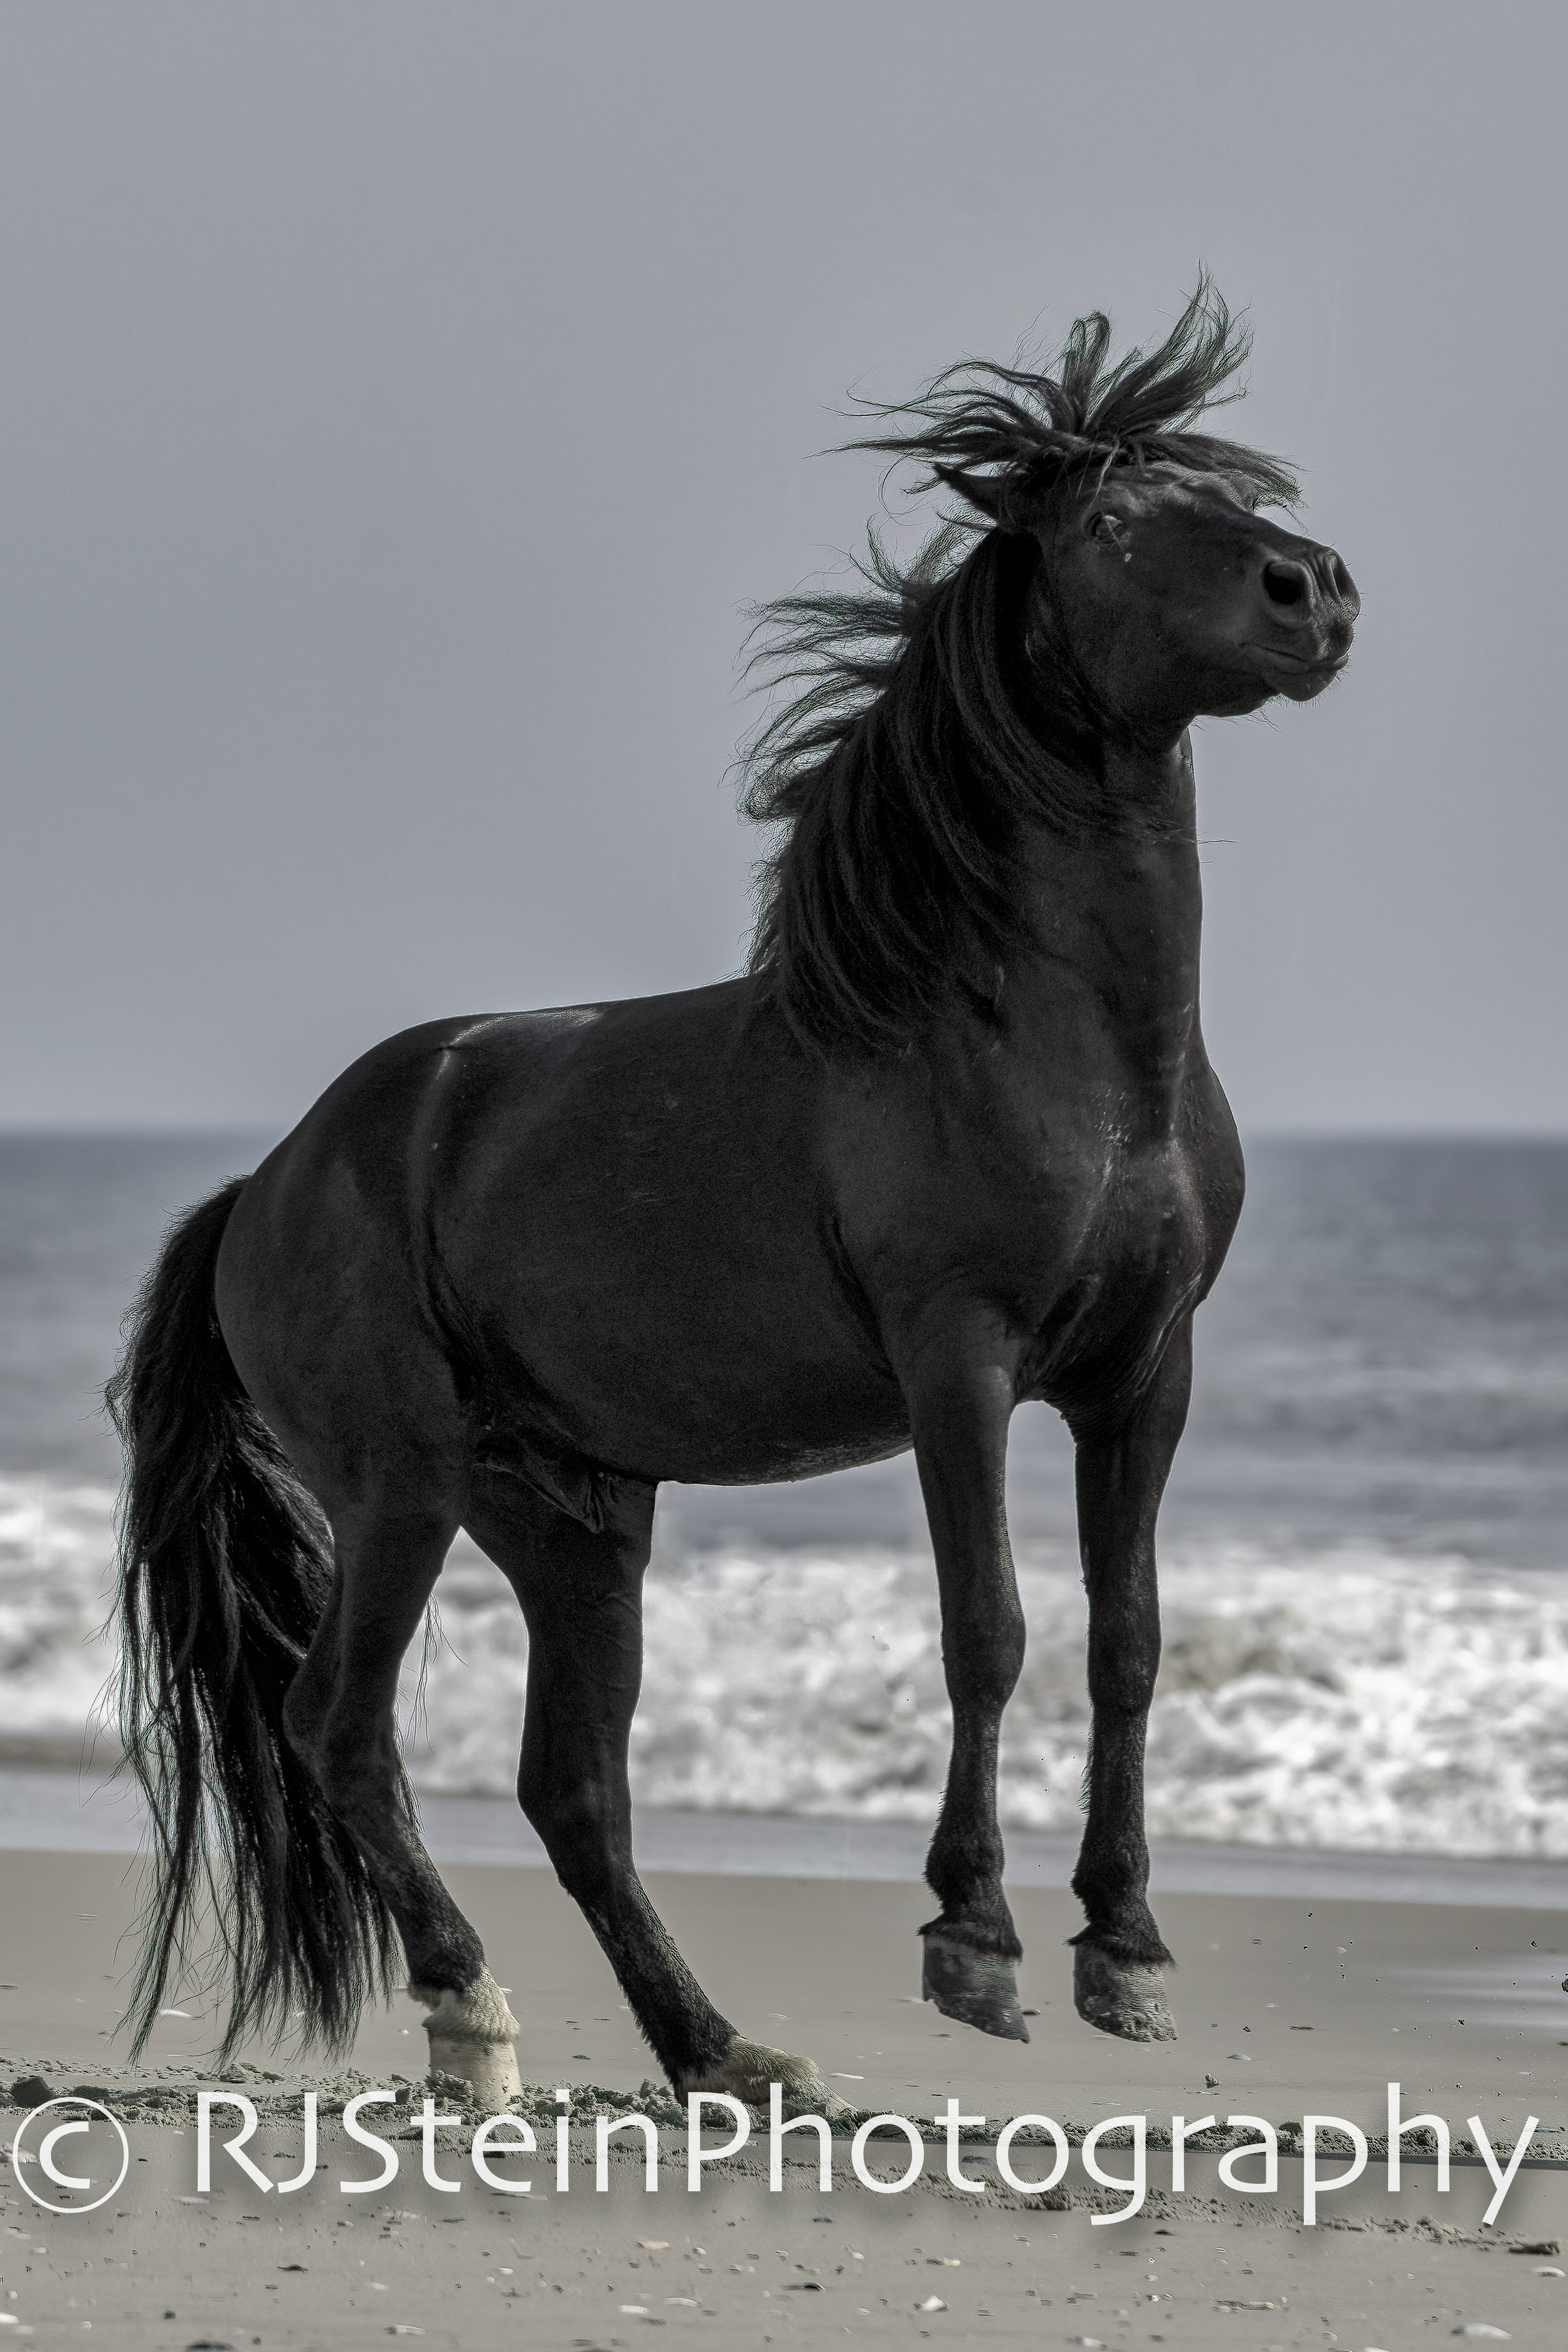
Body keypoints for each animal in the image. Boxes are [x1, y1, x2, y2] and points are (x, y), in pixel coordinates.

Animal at [113, 284, 1363, 2107]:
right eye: (1109, 520)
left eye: (1218, 483)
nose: (1313, 590)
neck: (1050, 1046)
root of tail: (264, 1184)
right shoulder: (959, 1361)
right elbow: (986, 1626)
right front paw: (973, 1946)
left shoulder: (1142, 1373)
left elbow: (1125, 1638)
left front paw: (1123, 1954)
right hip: (402, 1481)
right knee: (338, 1726)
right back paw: (472, 2014)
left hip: (569, 1518)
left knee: (573, 1787)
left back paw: (722, 2049)